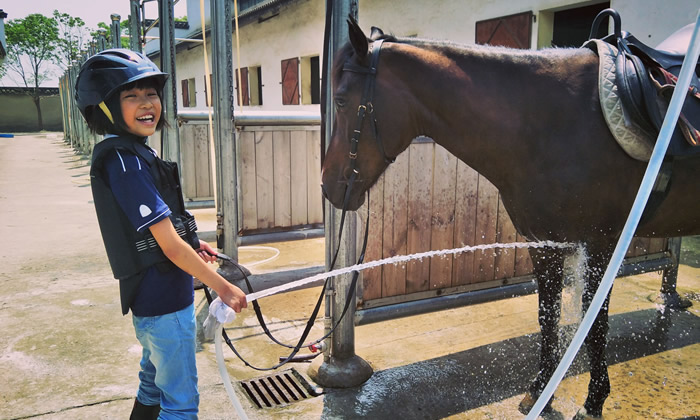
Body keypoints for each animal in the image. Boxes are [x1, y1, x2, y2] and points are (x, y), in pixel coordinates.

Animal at [320, 16, 700, 416]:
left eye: (341, 100)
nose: (327, 186)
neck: (553, 122)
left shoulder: (603, 242)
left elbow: (594, 322)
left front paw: (593, 401)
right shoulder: (545, 243)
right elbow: (548, 316)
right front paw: (541, 391)